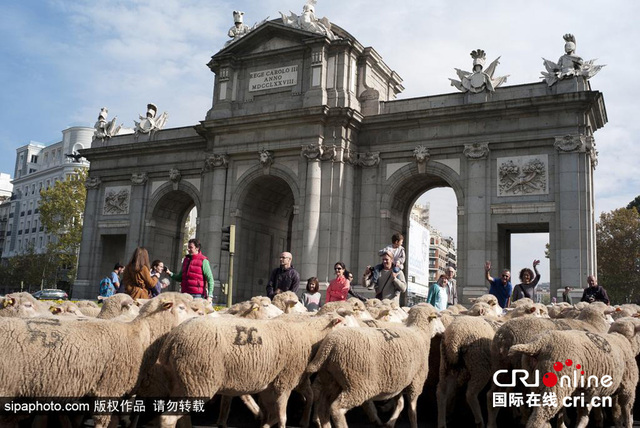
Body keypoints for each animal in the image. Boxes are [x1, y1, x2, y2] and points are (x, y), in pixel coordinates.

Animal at [155, 310, 356, 428]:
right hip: (198, 378)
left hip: (182, 380)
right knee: (168, 418)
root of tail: (172, 340)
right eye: (345, 324)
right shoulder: (285, 380)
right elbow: (282, 414)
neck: (308, 335)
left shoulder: (287, 379)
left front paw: (304, 420)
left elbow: (307, 398)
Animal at [304, 304, 444, 428]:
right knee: (336, 408)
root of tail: (329, 345)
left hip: (333, 380)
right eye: (437, 317)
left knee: (324, 407)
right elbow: (412, 411)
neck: (420, 333)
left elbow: (400, 403)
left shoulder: (398, 381)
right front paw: (412, 424)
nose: (443, 331)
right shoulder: (416, 381)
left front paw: (390, 423)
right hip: (357, 384)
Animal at [508, 318, 640, 428]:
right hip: (556, 382)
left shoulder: (587, 391)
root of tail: (538, 344)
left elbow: (585, 415)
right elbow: (627, 411)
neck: (624, 339)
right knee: (538, 416)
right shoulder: (628, 387)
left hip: (536, 383)